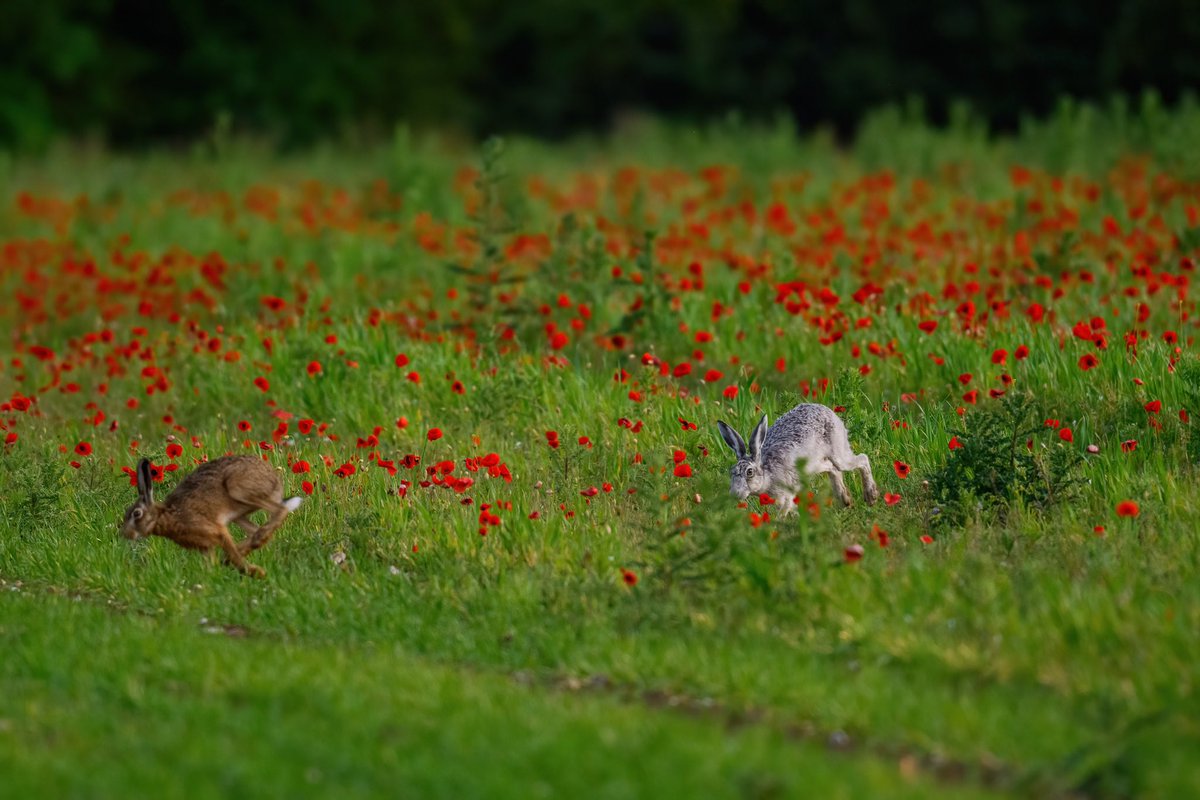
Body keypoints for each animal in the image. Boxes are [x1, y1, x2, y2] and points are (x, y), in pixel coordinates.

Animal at [120, 455, 303, 577]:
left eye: (136, 513)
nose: (125, 534)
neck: (166, 516)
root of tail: (274, 479)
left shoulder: (217, 531)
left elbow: (231, 550)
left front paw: (254, 571)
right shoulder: (205, 547)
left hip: (239, 488)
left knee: (280, 511)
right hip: (239, 512)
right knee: (256, 530)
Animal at [718, 403, 878, 515]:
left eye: (749, 472)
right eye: (732, 471)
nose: (735, 494)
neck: (767, 474)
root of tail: (825, 409)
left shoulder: (786, 496)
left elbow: (783, 513)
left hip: (839, 452)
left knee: (862, 459)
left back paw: (871, 496)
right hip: (818, 462)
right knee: (833, 469)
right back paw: (846, 500)